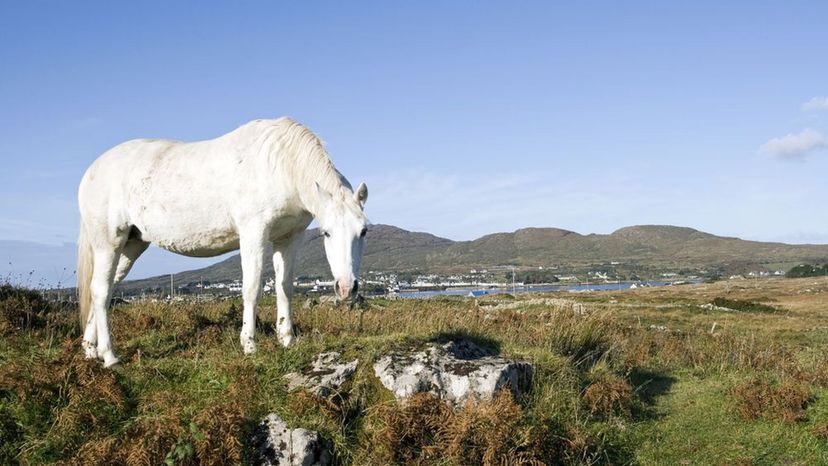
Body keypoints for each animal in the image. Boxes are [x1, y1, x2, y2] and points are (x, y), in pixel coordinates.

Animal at [77, 117, 368, 368]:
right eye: (327, 233)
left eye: (363, 232)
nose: (346, 288)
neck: (281, 164)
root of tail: (92, 170)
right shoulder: (253, 233)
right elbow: (252, 288)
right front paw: (249, 345)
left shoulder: (288, 239)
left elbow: (285, 288)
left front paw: (287, 340)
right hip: (108, 243)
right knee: (101, 291)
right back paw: (110, 356)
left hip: (131, 245)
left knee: (103, 289)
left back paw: (90, 350)